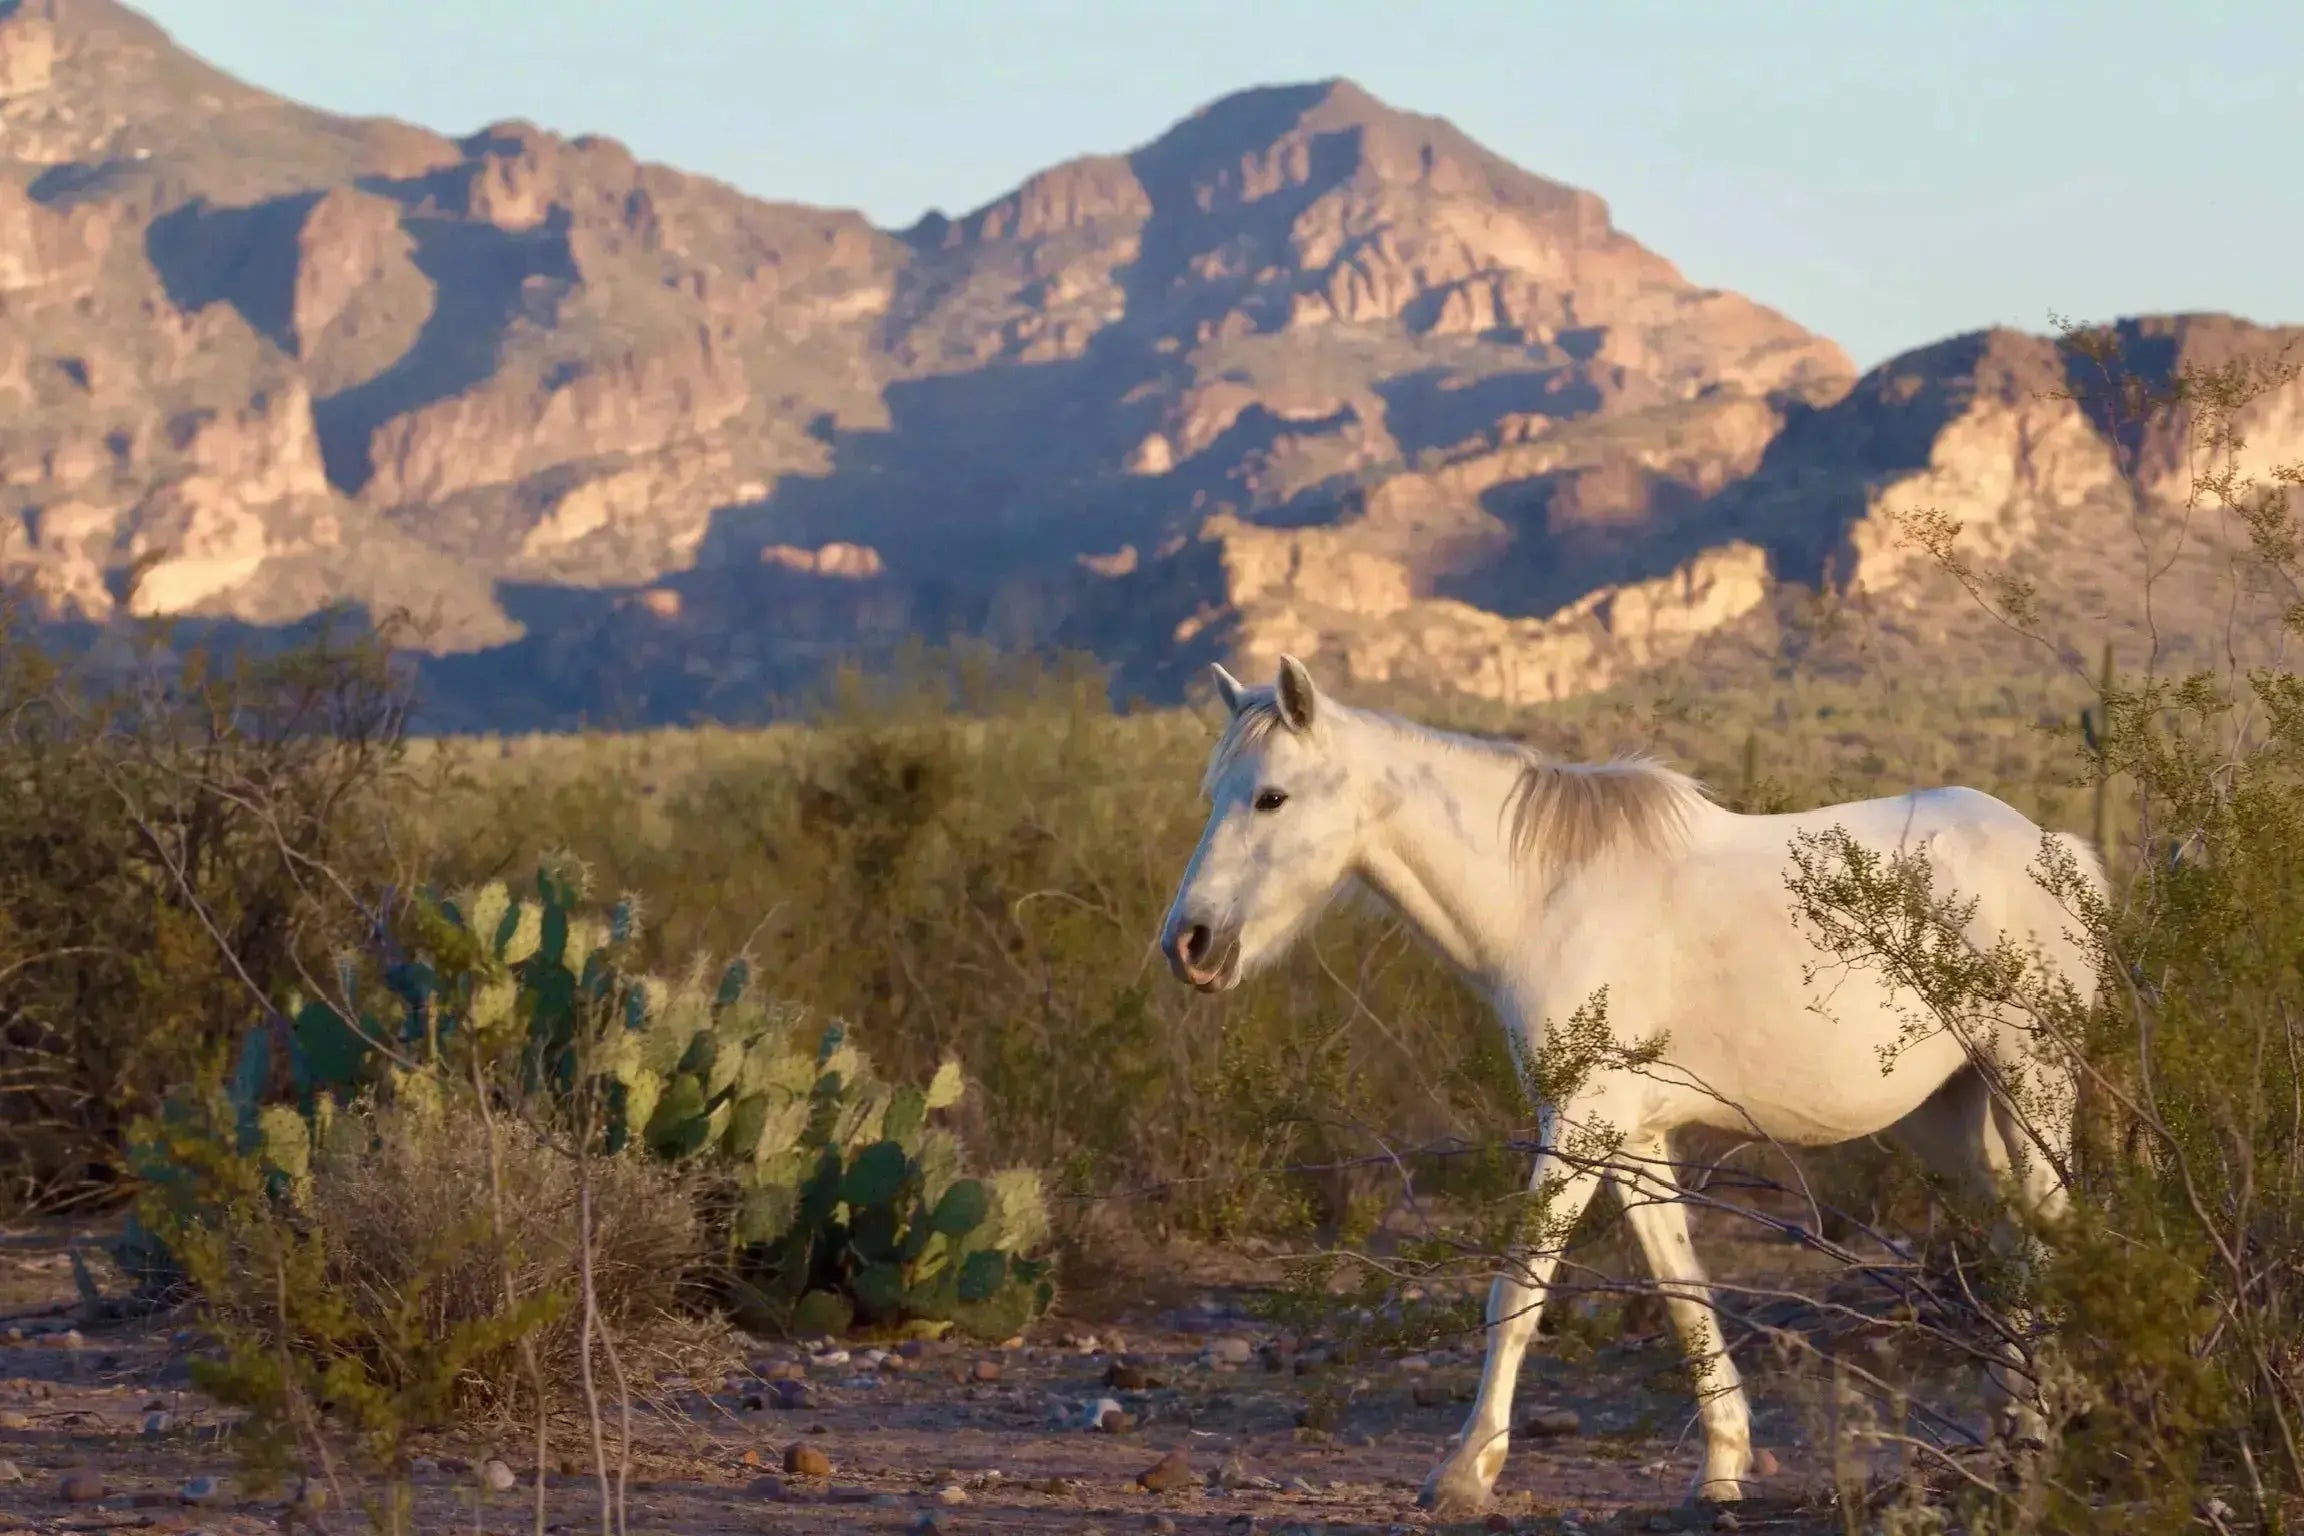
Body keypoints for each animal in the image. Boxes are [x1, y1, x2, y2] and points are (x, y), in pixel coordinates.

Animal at [1155, 655, 2101, 1515]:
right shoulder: (1633, 1136)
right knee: (2017, 1244)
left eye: (1271, 797)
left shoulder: (1578, 1122)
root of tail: (2060, 852)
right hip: (1954, 1115)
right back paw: (2010, 1426)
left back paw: (2041, 1433)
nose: (1189, 944)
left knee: (2054, 1238)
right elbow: (1682, 1290)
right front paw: (1722, 1465)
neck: (1545, 898)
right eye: (1211, 793)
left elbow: (1518, 1287)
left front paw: (1465, 1472)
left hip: (2031, 1085)